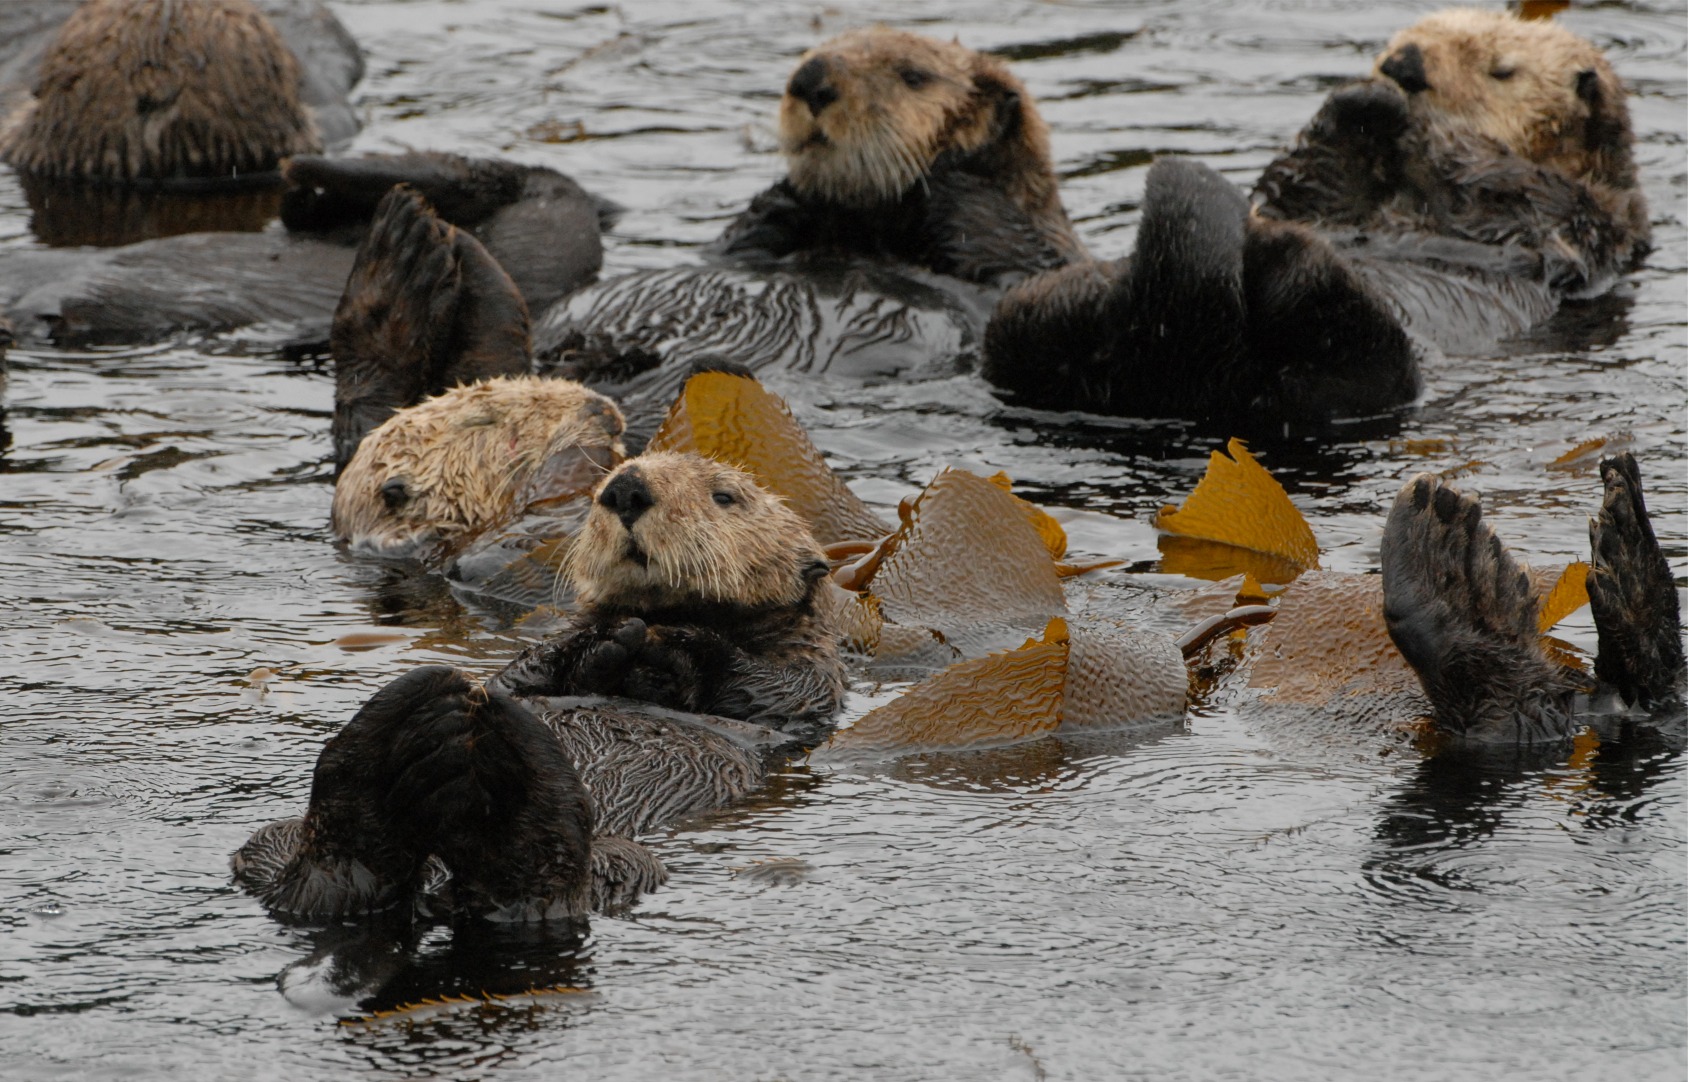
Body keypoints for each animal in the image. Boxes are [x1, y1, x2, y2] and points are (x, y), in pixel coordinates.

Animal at [979, 12, 1647, 428]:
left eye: (1502, 69)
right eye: (1407, 35)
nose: (1403, 64)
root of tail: (1180, 367)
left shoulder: (1571, 209)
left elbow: (1489, 179)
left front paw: (1402, 115)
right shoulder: (1317, 195)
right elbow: (1306, 181)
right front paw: (1362, 101)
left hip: (1354, 374)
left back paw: (1271, 247)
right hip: (1037, 317)